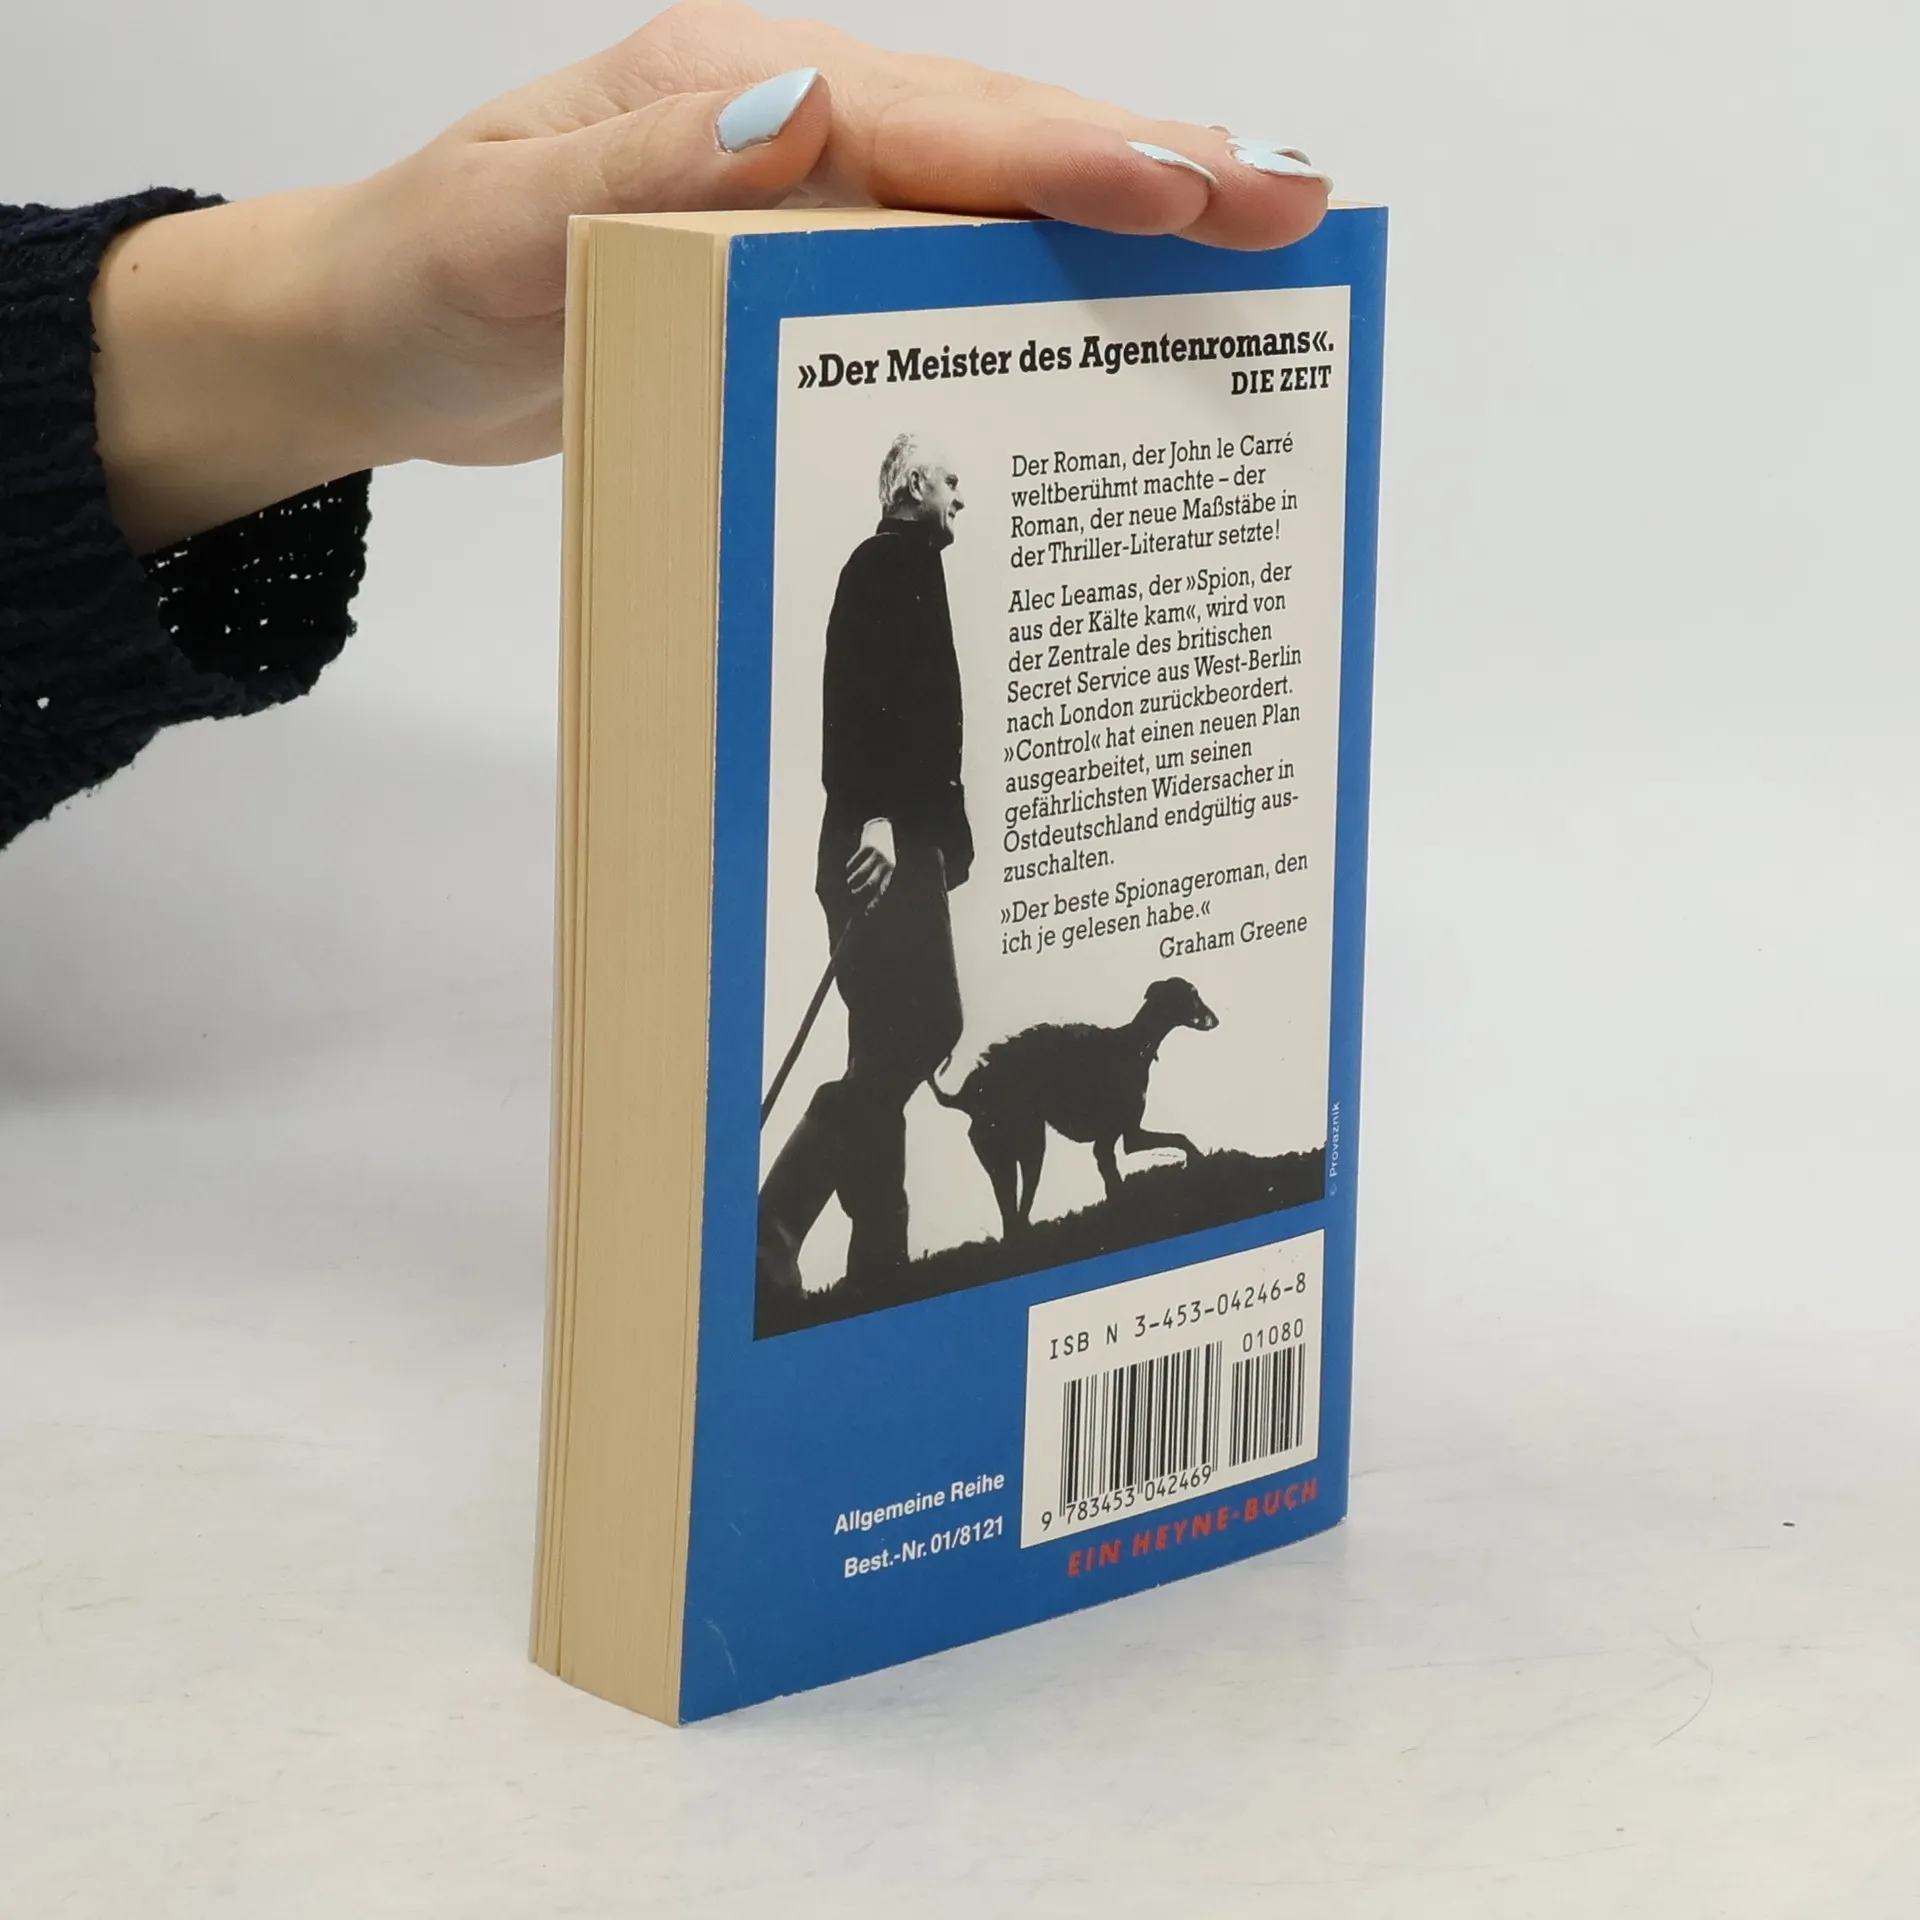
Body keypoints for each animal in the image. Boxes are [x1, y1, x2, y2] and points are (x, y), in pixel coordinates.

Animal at [928, 978, 1219, 1238]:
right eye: (1193, 996)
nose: (1215, 1020)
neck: (1134, 1044)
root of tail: (967, 1097)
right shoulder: (1115, 1140)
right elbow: (1168, 1146)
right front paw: (1198, 1160)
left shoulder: (1125, 1137)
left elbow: (1123, 1176)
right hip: (1027, 1146)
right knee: (1016, 1218)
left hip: (1008, 1155)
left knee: (1012, 1220)